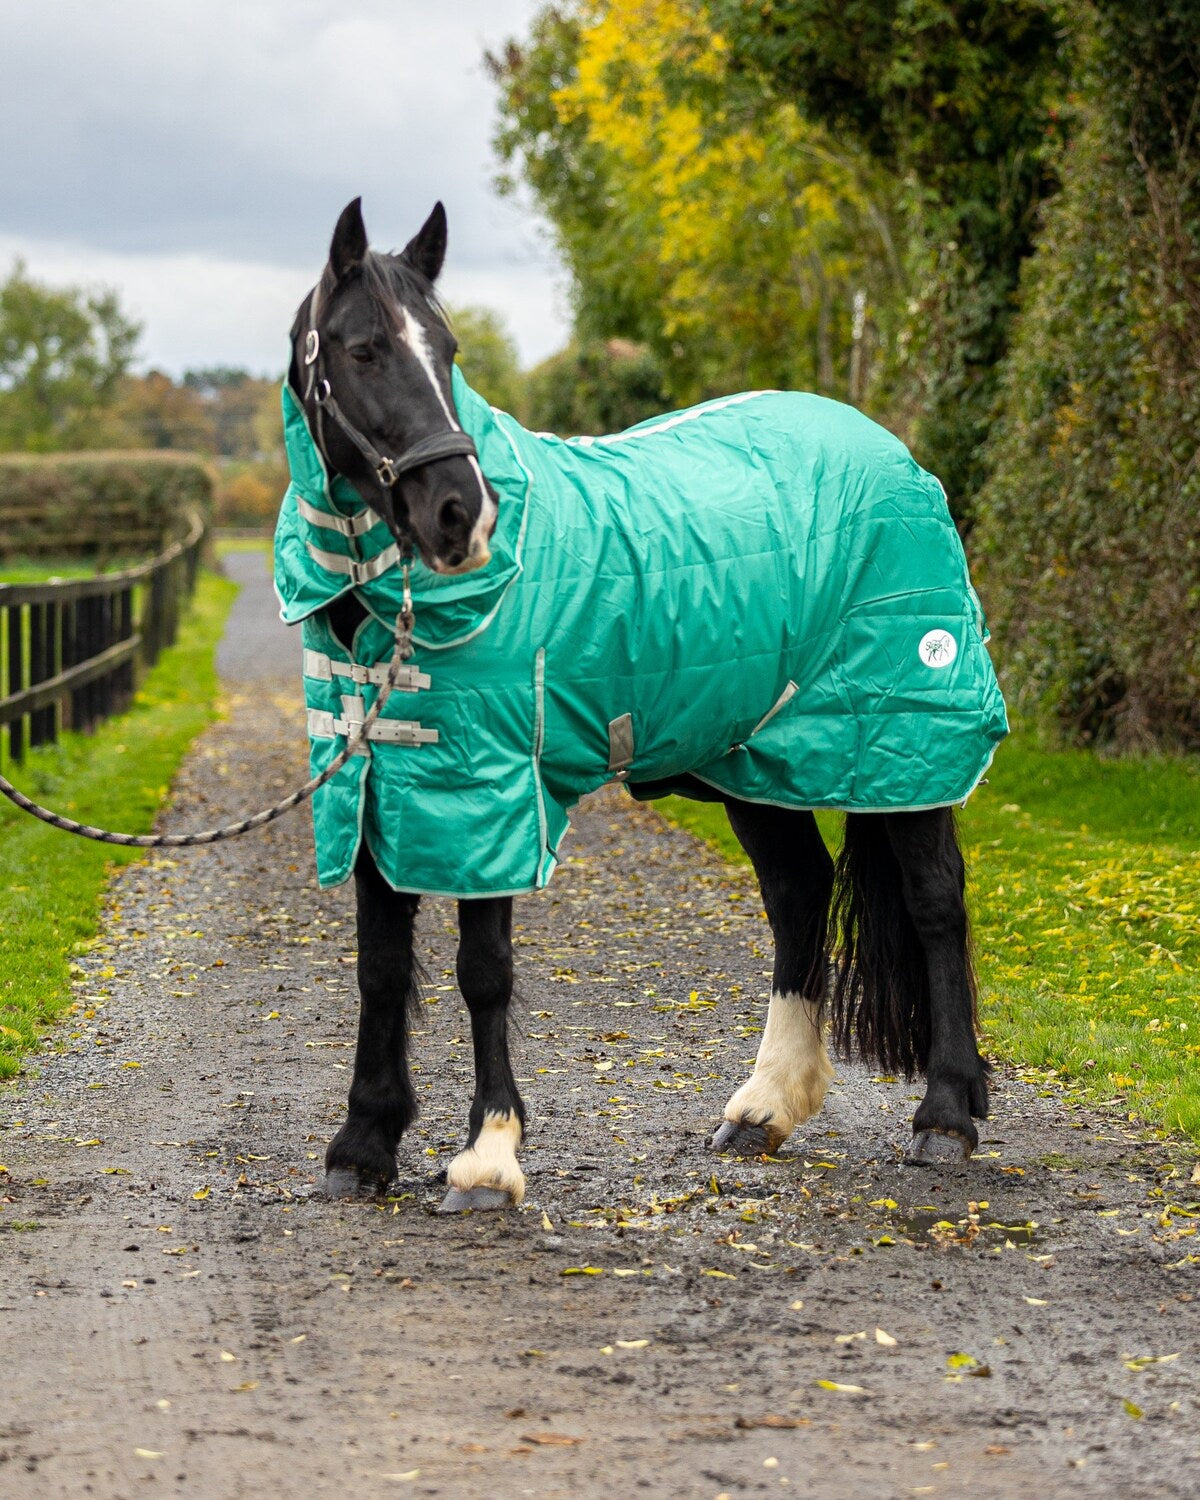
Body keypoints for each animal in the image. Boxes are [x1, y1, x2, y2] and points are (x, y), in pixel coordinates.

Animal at [279, 198, 1003, 1210]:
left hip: (905, 737)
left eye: (449, 348)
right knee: (799, 893)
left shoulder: (494, 791)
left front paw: (488, 1157)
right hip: (753, 759)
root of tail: (893, 453)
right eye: (361, 348)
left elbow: (482, 970)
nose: (462, 513)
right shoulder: (381, 783)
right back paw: (763, 1107)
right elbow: (381, 969)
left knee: (937, 901)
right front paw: (363, 1144)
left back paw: (945, 1114)